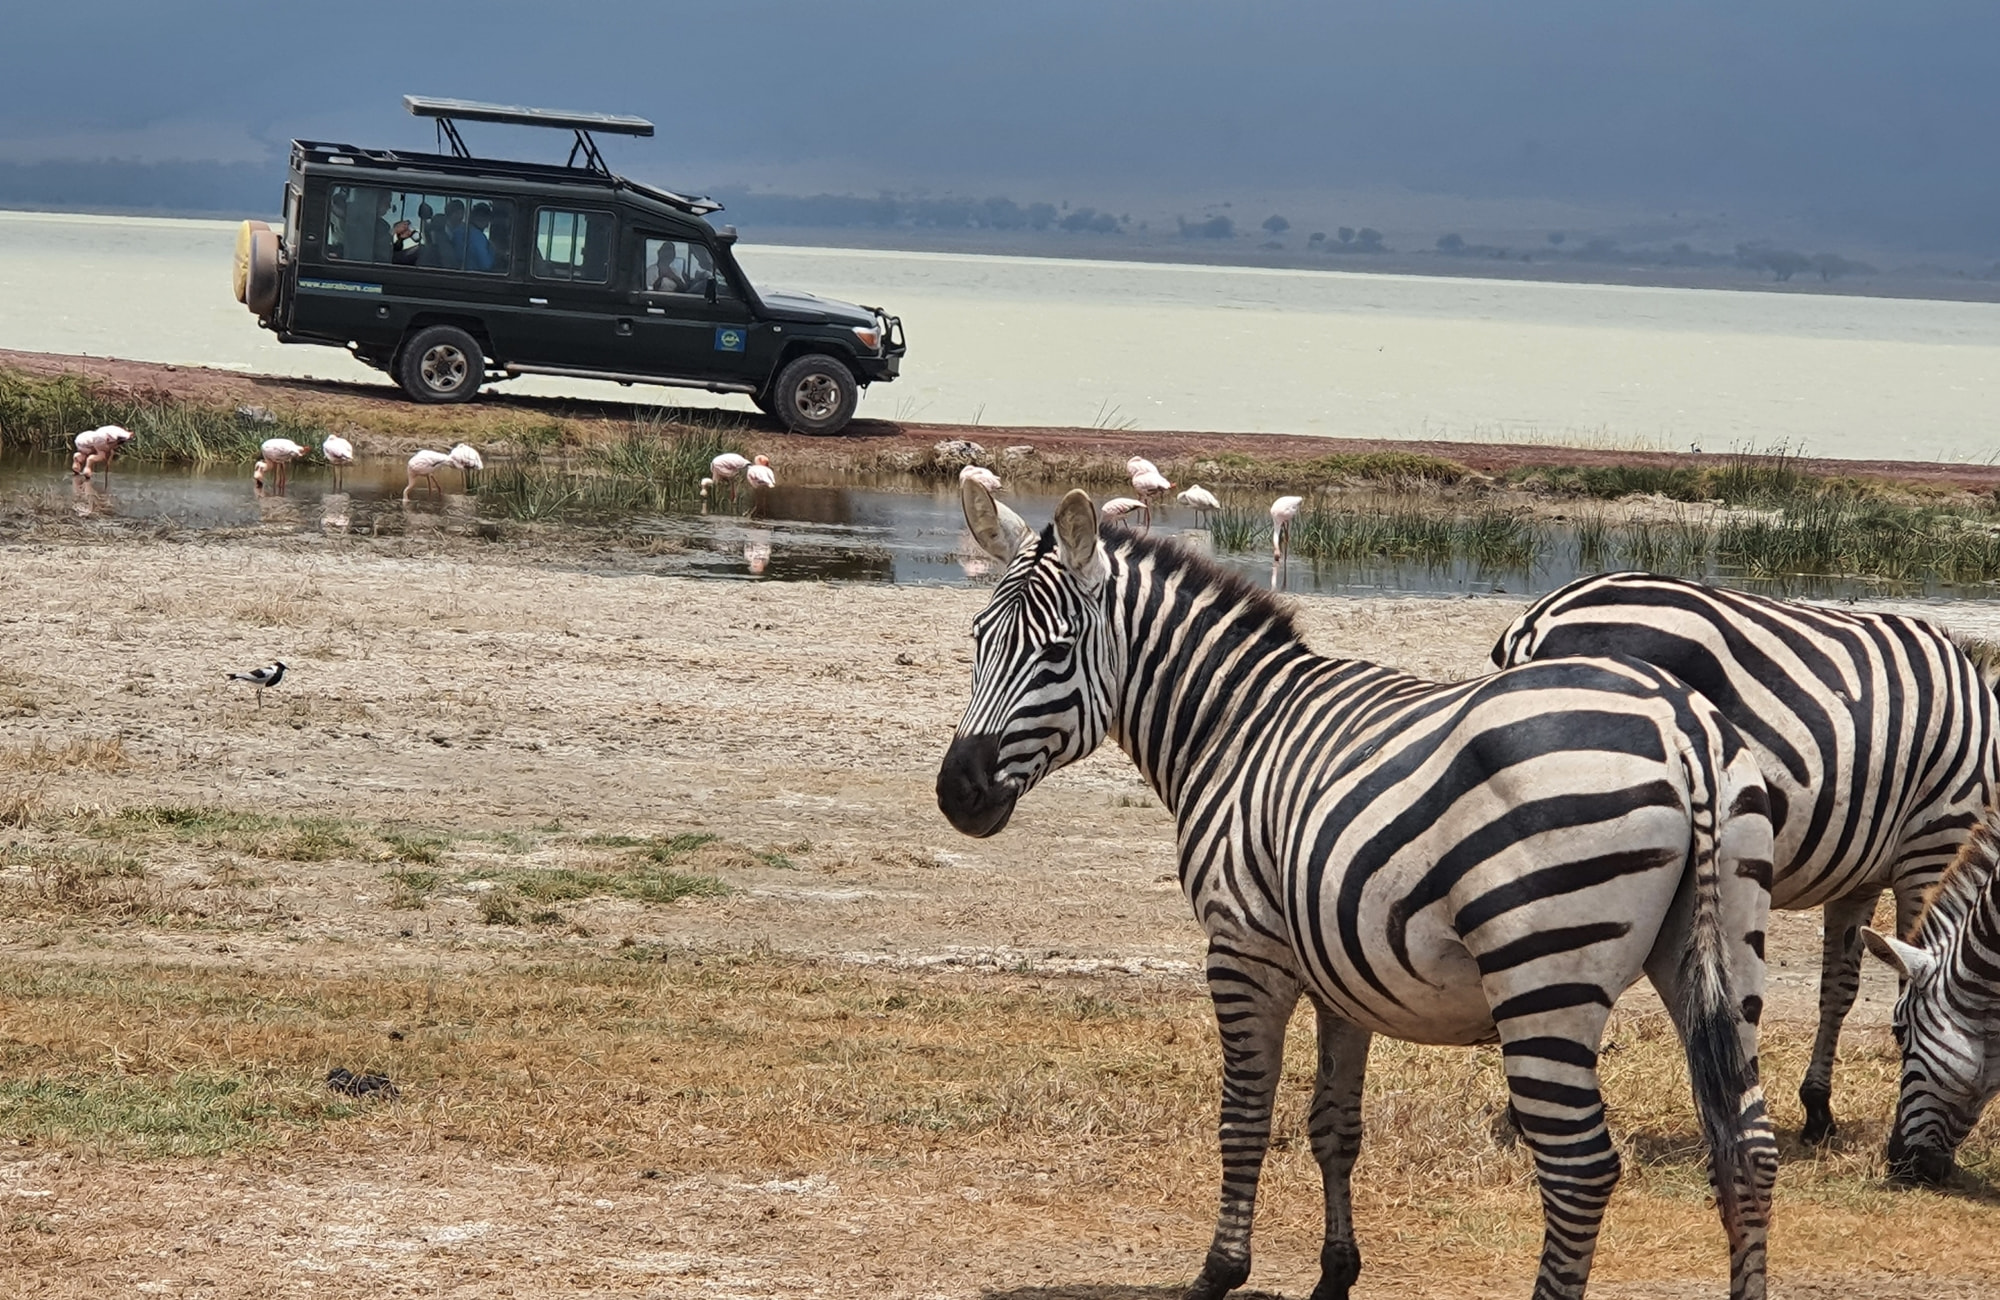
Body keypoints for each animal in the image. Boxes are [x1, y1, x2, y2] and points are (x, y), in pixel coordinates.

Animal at [928, 484, 1776, 1296]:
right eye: (977, 640)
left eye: (1056, 653)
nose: (957, 792)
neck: (1235, 729)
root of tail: (1683, 726)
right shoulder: (1342, 971)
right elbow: (1334, 1127)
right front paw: (1335, 1272)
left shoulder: (1243, 951)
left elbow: (1245, 1117)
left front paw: (1219, 1271)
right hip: (1725, 953)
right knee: (1750, 1151)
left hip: (1543, 976)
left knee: (1580, 1172)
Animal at [1496, 572, 2000, 1136]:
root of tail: (1539, 619)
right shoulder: (1933, 848)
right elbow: (1909, 978)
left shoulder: (1860, 878)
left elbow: (1840, 987)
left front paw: (1818, 1107)